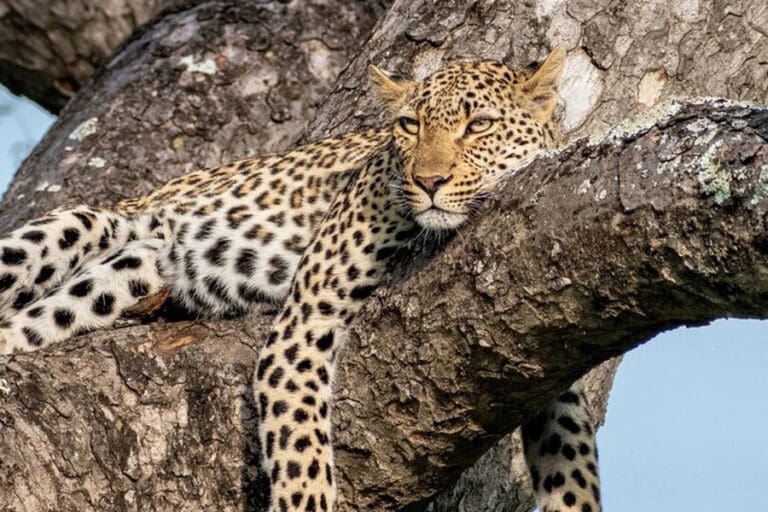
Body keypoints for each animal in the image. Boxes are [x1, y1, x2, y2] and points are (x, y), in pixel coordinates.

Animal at [0, 47, 600, 512]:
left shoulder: (548, 351)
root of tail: (146, 205)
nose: (428, 181)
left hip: (124, 276)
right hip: (78, 225)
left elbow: (572, 453)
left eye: (479, 126)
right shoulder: (306, 317)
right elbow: (301, 449)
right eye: (409, 126)